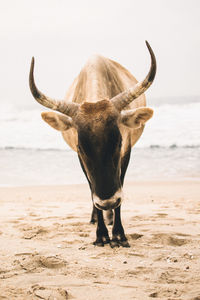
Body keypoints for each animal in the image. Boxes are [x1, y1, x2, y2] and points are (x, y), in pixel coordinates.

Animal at [28, 41, 156, 247]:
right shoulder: (81, 162)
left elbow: (120, 187)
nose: (107, 202)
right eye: (81, 147)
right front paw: (101, 234)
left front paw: (118, 234)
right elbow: (91, 189)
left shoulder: (126, 155)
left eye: (118, 142)